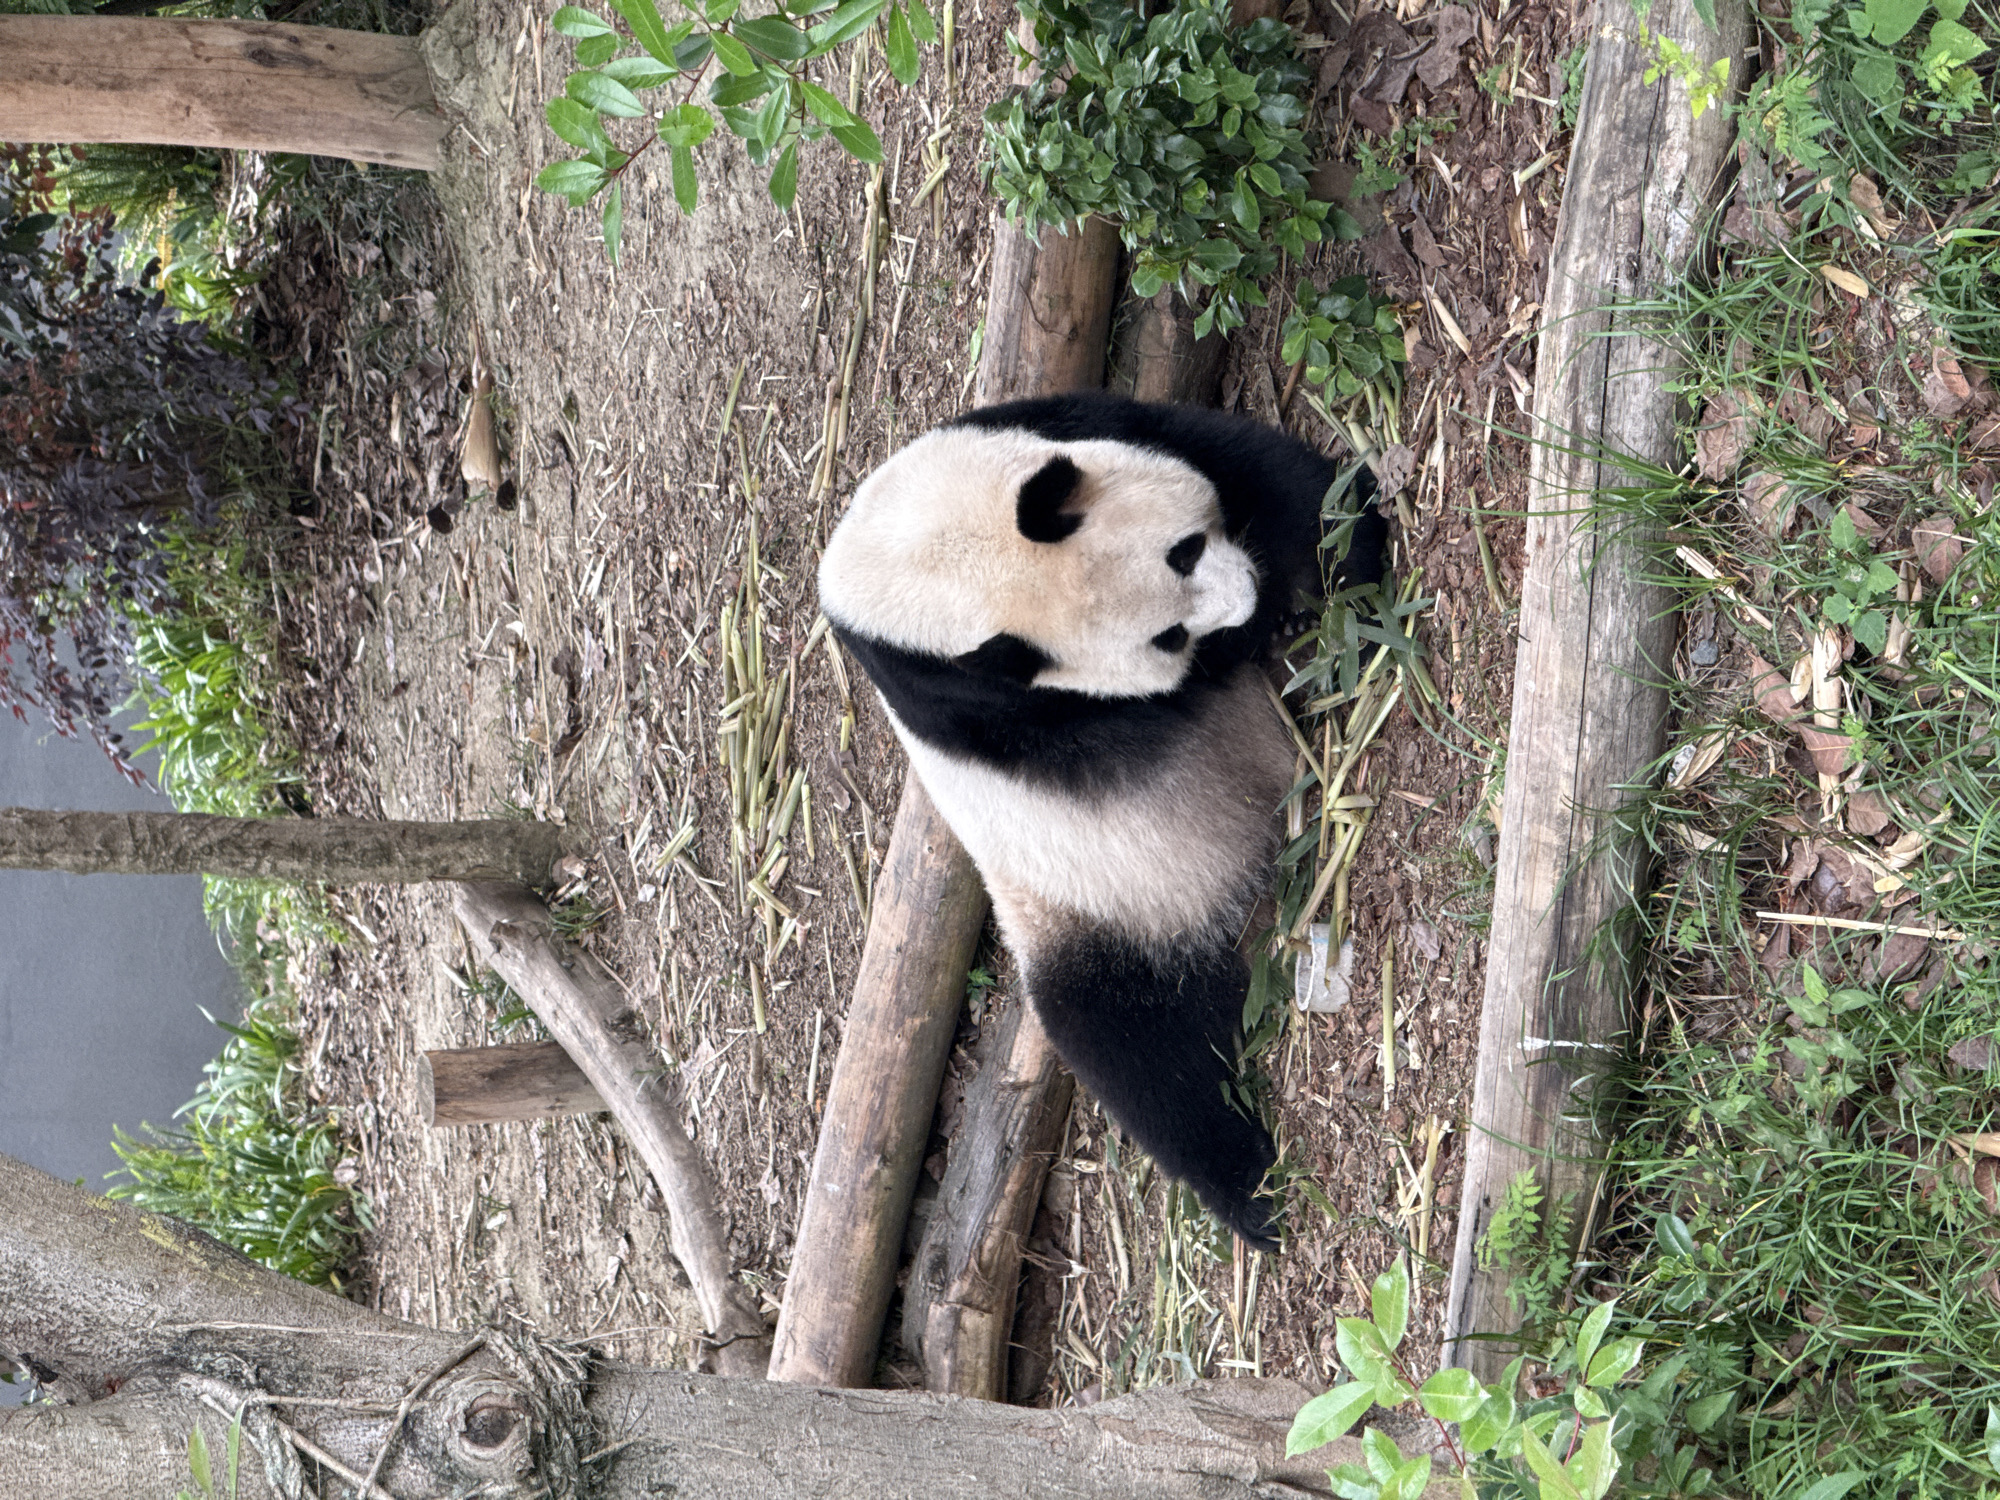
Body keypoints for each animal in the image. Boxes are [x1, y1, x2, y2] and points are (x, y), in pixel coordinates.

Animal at [818, 391, 1386, 1250]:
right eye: (1166, 635)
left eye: (1185, 549)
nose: (1247, 596)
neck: (929, 566)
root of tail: (1227, 915)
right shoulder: (987, 707)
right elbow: (1158, 696)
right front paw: (1267, 626)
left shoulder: (1041, 426)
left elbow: (1238, 465)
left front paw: (1351, 539)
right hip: (1088, 930)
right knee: (1147, 1059)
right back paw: (1256, 1194)